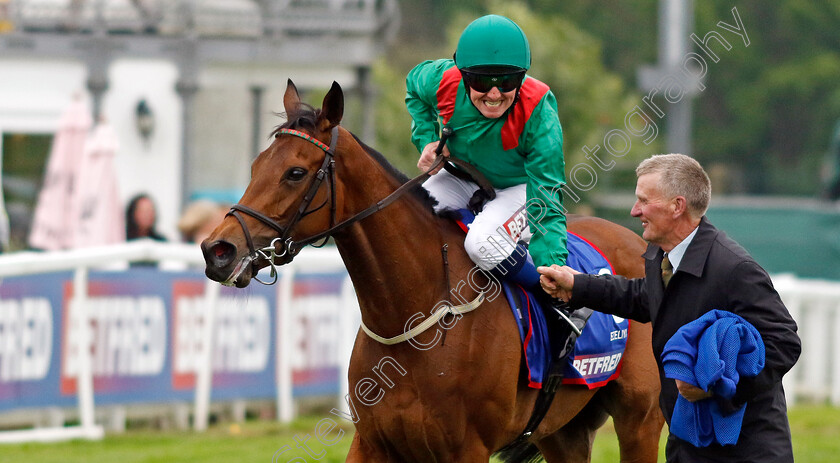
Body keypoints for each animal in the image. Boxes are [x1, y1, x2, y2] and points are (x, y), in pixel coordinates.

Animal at [202, 81, 664, 462]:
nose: (217, 250)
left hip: (639, 418)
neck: (411, 318)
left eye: (295, 172)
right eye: (255, 166)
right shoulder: (372, 442)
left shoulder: (467, 449)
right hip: (563, 430)